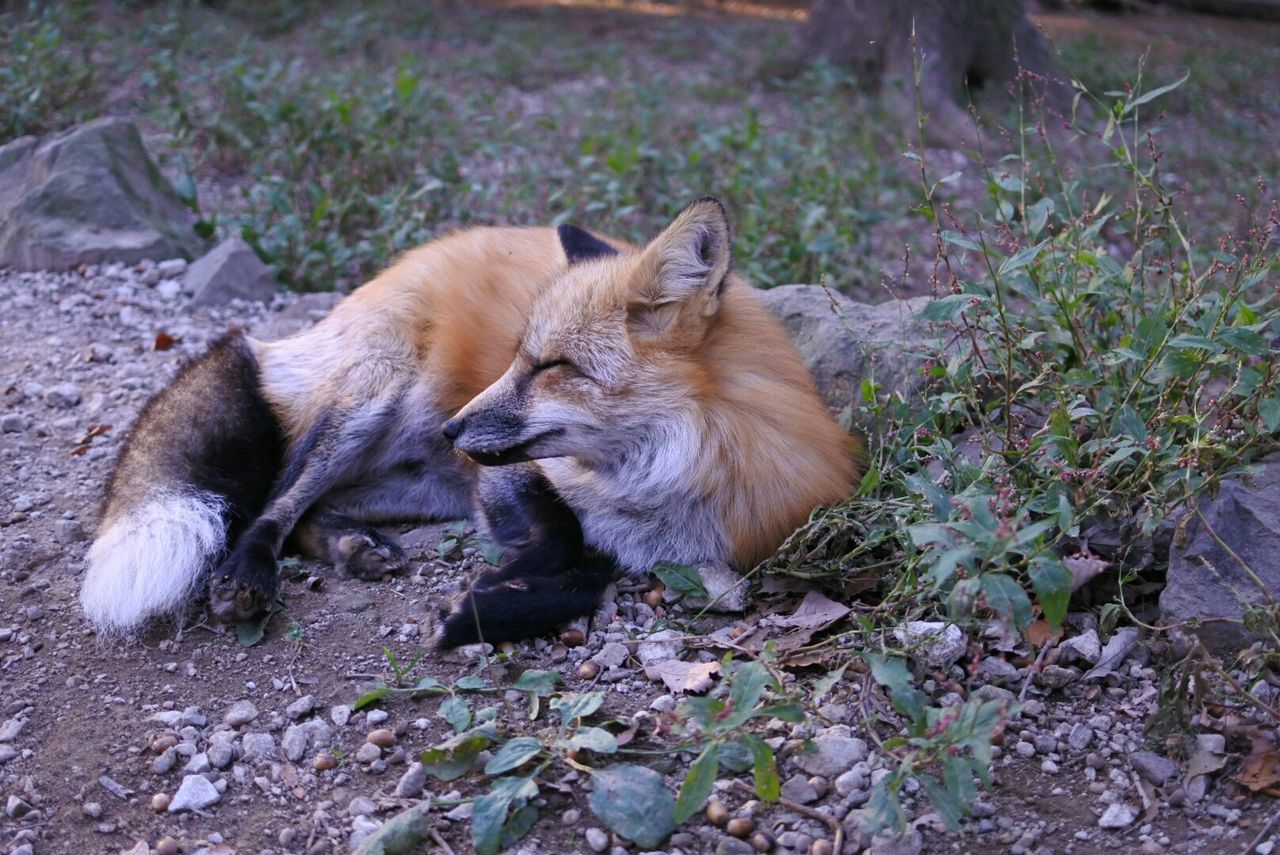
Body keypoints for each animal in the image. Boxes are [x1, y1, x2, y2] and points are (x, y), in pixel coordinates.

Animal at [80, 197, 860, 645]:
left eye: (552, 366)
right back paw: (249, 572)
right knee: (275, 500)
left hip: (427, 485)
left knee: (314, 512)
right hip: (371, 403)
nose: (454, 430)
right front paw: (488, 596)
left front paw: (488, 603)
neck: (664, 480)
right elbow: (569, 546)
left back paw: (354, 547)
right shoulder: (513, 479)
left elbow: (589, 566)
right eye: (517, 357)